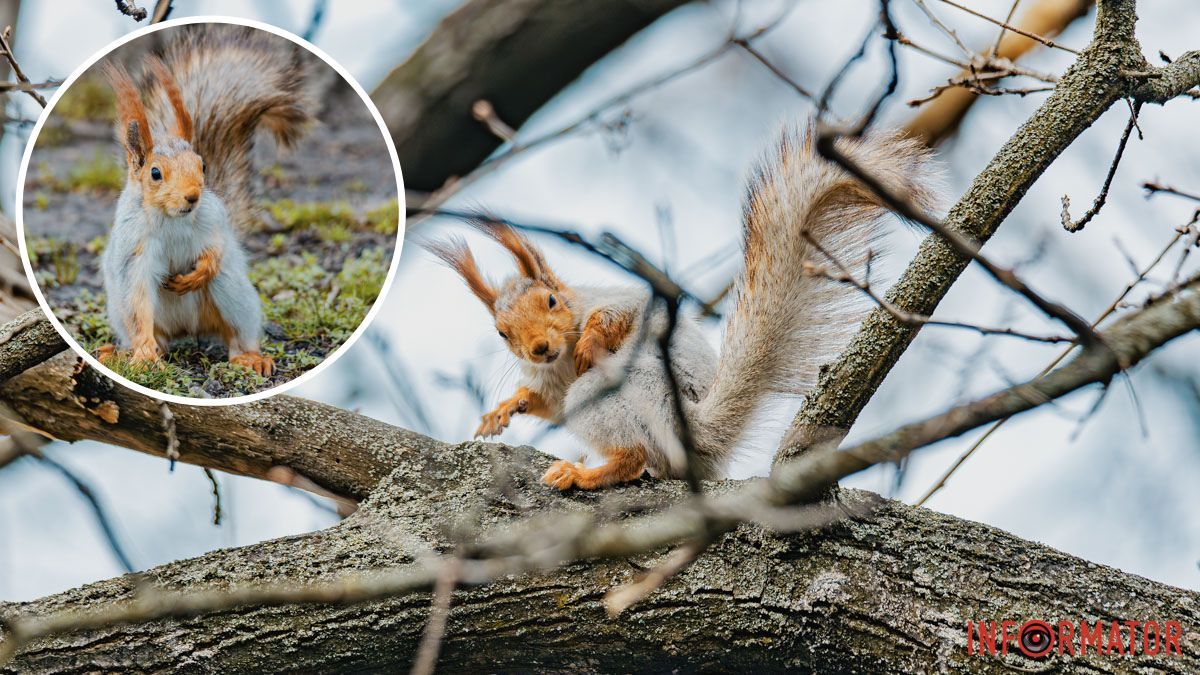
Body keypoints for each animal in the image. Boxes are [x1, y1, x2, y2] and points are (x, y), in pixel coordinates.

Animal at [97, 24, 314, 372]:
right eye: (155, 173)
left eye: (202, 165)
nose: (192, 197)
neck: (172, 218)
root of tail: (187, 329)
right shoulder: (134, 250)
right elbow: (139, 303)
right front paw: (144, 357)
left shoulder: (214, 220)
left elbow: (217, 247)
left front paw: (198, 273)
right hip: (125, 313)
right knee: (155, 334)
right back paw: (126, 351)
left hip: (233, 295)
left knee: (235, 331)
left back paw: (250, 357)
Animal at [432, 126, 936, 487]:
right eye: (502, 333)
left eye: (552, 300)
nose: (538, 348)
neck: (557, 364)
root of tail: (701, 435)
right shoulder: (552, 387)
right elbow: (544, 402)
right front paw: (506, 407)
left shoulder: (626, 302)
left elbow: (621, 315)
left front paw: (590, 339)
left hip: (626, 394)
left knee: (634, 456)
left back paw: (584, 473)